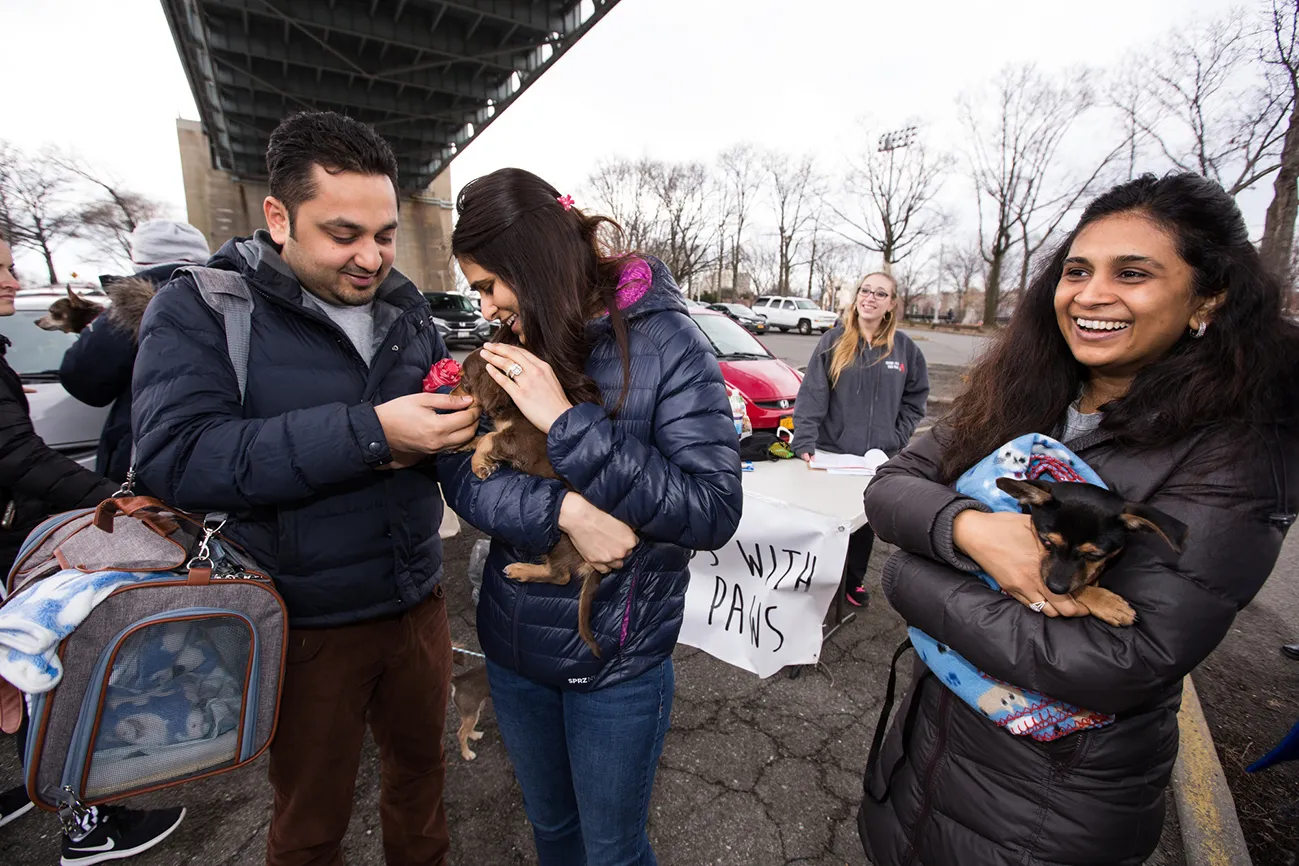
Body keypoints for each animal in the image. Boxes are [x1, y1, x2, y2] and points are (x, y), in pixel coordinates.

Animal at [454, 347, 610, 659]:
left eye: (464, 381)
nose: (451, 394)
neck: (513, 406)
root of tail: (594, 566)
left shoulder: (519, 442)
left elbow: (489, 437)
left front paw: (479, 466)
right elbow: (483, 436)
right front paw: (465, 445)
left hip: (559, 541)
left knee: (561, 576)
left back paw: (521, 570)